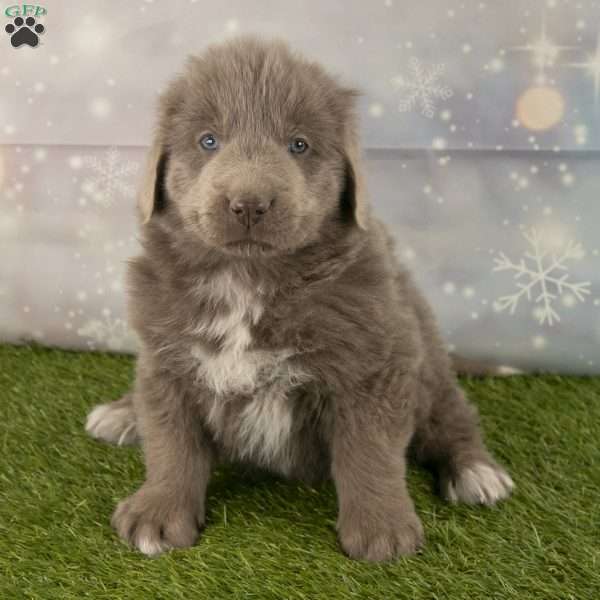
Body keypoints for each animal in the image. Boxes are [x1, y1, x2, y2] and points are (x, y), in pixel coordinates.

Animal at [86, 36, 512, 564]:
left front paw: (382, 528)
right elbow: (171, 442)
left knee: (449, 414)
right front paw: (159, 512)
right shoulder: (167, 359)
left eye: (298, 145)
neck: (249, 280)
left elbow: (370, 452)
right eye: (208, 141)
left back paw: (475, 471)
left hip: (425, 351)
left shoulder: (374, 365)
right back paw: (122, 413)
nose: (249, 204)